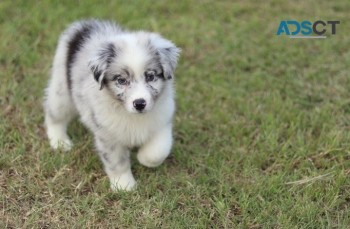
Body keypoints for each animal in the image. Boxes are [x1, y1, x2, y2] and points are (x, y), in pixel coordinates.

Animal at [43, 19, 180, 191]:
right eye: (121, 80)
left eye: (150, 76)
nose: (139, 104)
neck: (131, 115)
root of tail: (85, 24)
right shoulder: (108, 135)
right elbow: (117, 161)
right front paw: (124, 186)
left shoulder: (162, 122)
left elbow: (158, 150)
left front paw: (144, 158)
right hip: (61, 90)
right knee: (54, 114)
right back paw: (60, 141)